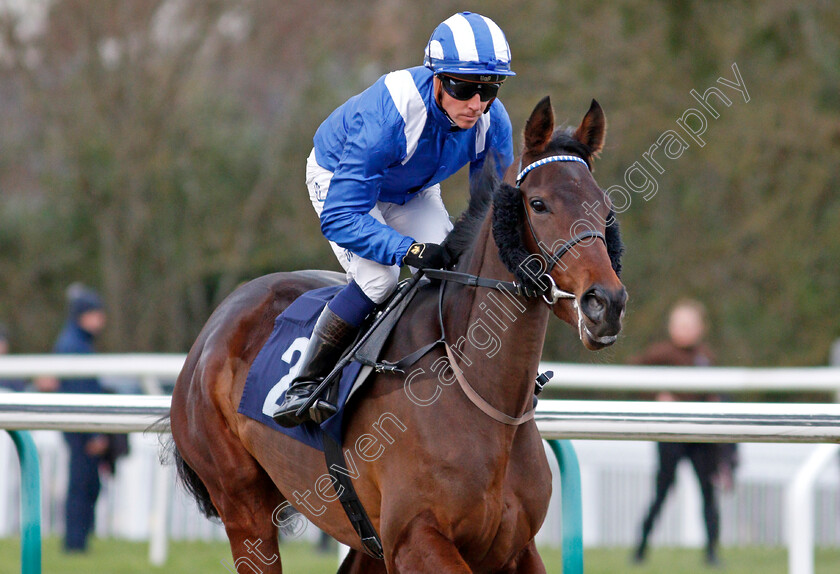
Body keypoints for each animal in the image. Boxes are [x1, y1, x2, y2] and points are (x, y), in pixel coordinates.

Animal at [169, 97, 624, 572]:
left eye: (605, 208)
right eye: (538, 204)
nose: (605, 303)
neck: (482, 396)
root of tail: (218, 320)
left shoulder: (514, 548)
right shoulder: (415, 537)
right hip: (242, 503)